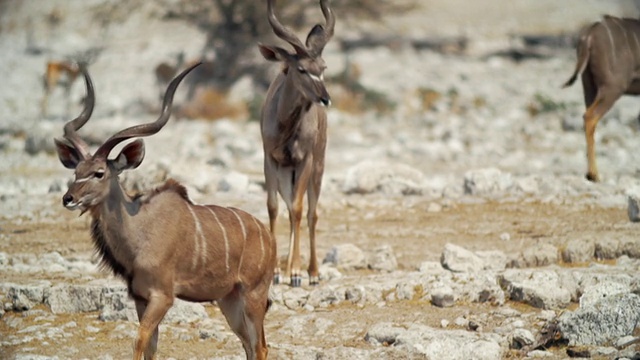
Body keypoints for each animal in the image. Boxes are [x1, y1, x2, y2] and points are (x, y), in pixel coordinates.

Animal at [53, 63, 276, 358]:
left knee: (260, 345)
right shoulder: (140, 298)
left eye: (99, 173)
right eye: (76, 171)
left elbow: (139, 340)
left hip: (253, 295)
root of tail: (268, 236)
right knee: (249, 344)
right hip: (228, 300)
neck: (140, 230)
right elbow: (150, 345)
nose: (68, 198)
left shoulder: (163, 296)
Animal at [258, 0, 338, 286]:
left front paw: (294, 272)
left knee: (309, 213)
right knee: (289, 205)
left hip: (318, 168)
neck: (285, 127)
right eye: (301, 69)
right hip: (287, 173)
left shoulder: (306, 161)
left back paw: (311, 272)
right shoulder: (270, 159)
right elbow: (273, 207)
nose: (325, 99)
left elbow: (298, 209)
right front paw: (275, 272)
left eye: (323, 68)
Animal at [564, 15, 640, 181]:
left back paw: (589, 173)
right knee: (590, 117)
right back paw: (594, 175)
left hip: (589, 86)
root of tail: (590, 35)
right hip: (612, 88)